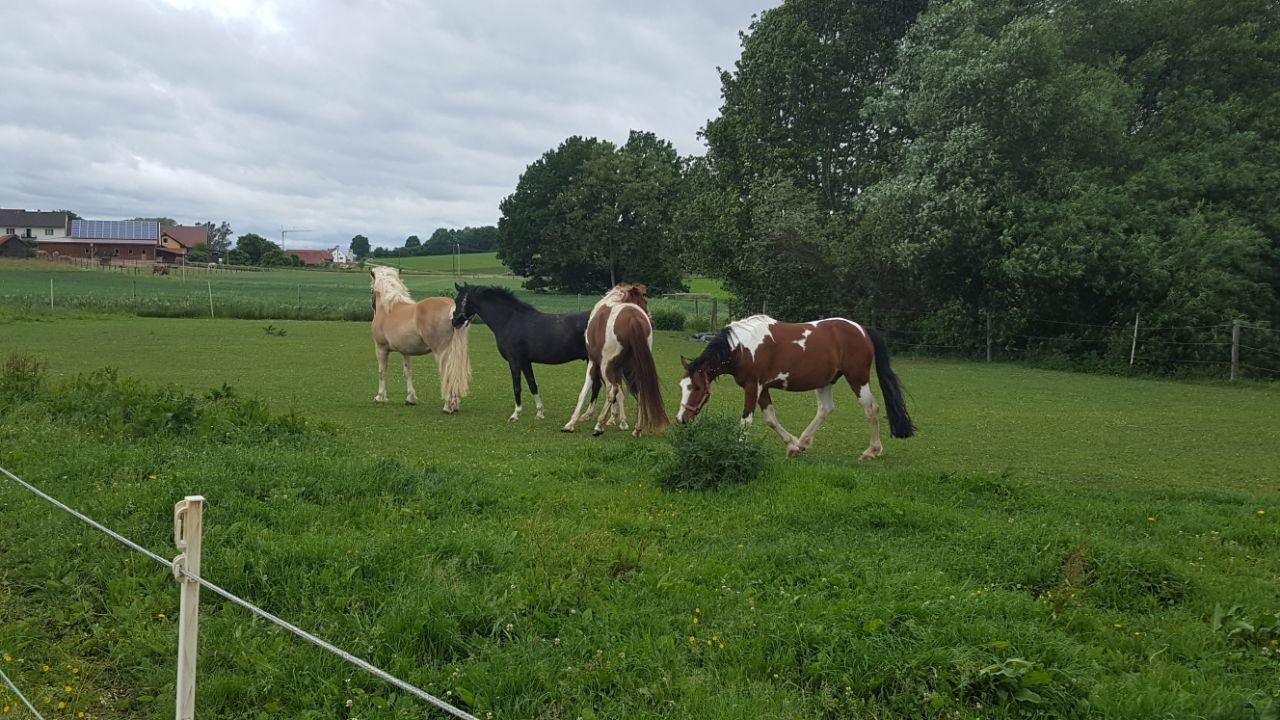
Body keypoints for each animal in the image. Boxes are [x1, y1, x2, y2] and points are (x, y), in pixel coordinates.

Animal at [368, 263, 473, 409]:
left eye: (371, 289)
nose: (372, 306)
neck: (389, 308)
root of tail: (452, 307)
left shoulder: (381, 348)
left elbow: (382, 371)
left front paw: (380, 397)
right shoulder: (405, 351)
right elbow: (407, 372)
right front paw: (410, 398)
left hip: (442, 352)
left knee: (447, 373)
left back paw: (448, 406)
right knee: (454, 372)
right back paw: (455, 404)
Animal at [450, 283, 604, 420]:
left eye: (458, 300)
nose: (454, 321)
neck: (509, 320)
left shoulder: (514, 361)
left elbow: (517, 387)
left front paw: (515, 414)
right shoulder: (525, 362)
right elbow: (532, 385)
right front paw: (540, 413)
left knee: (597, 385)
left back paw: (588, 415)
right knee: (597, 385)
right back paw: (587, 415)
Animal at [565, 283, 675, 435]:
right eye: (645, 301)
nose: (652, 320)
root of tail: (633, 318)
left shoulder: (594, 363)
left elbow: (585, 391)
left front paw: (571, 423)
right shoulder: (619, 367)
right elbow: (621, 394)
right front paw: (620, 421)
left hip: (605, 366)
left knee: (612, 390)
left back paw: (599, 425)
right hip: (633, 366)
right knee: (639, 391)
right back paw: (637, 429)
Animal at [675, 315, 916, 458]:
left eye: (697, 388)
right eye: (682, 387)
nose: (681, 419)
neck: (743, 347)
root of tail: (862, 329)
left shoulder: (753, 386)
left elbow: (746, 421)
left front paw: (737, 450)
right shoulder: (763, 388)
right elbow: (770, 419)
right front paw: (791, 445)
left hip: (858, 378)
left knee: (871, 409)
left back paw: (872, 451)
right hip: (825, 381)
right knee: (825, 409)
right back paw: (802, 443)